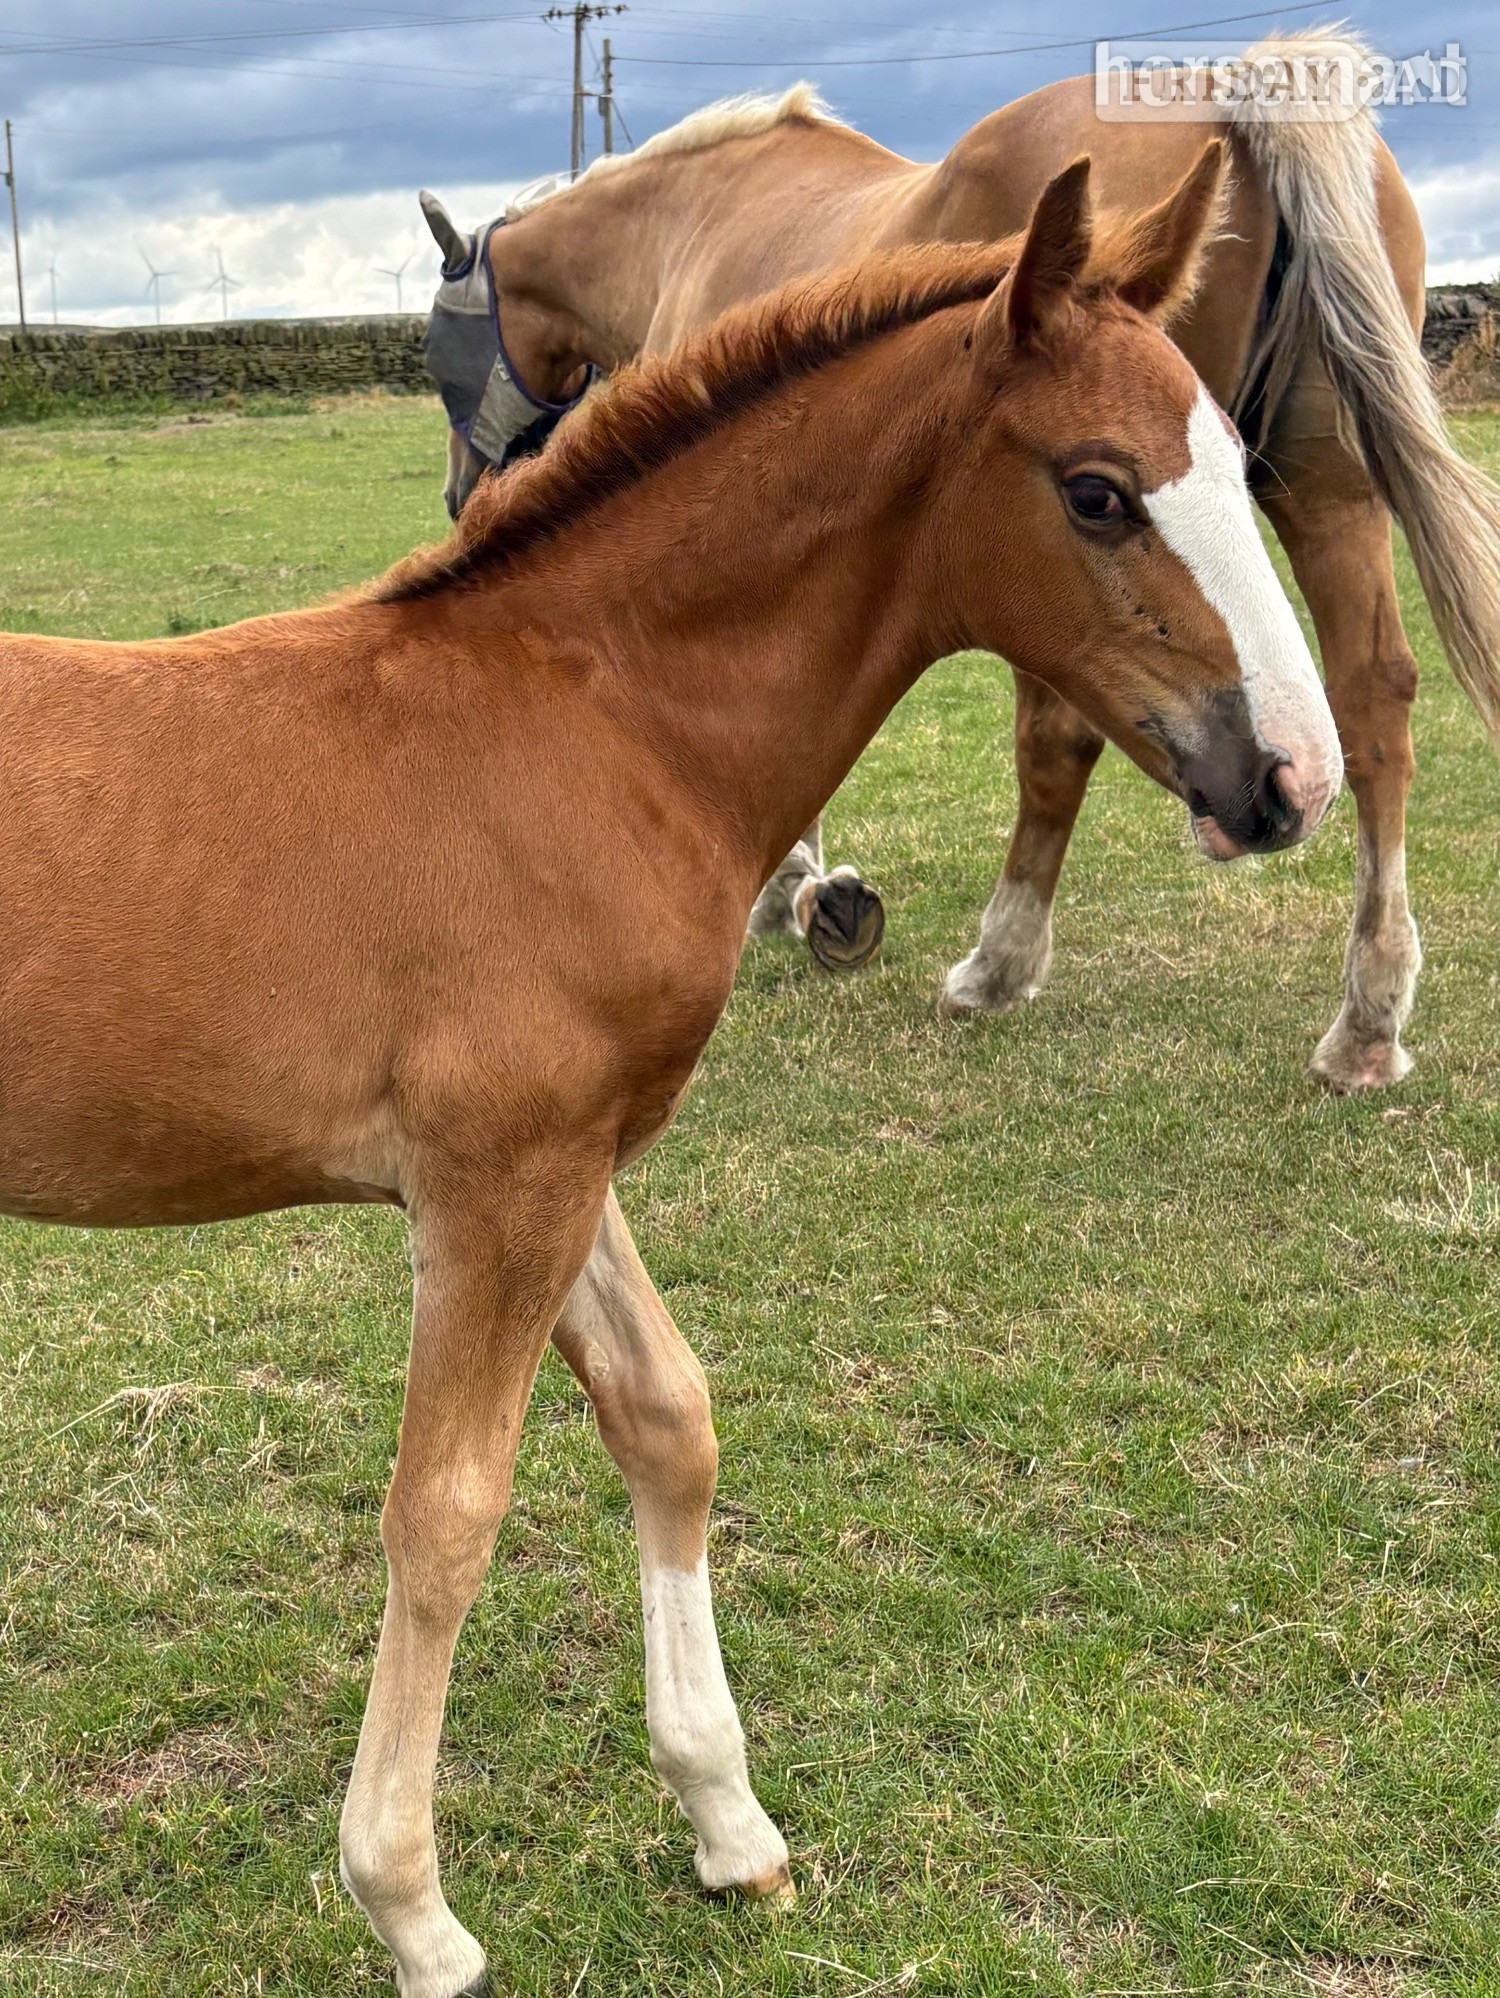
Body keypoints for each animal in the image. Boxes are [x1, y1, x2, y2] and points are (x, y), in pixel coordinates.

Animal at [2, 156, 1342, 1996]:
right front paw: (412, 1908)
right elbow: (447, 1510)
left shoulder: (564, 1164)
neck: (586, 727)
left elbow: (667, 1417)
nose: (1291, 780)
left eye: (1233, 460)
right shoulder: (497, 1186)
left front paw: (728, 1818)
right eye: (1097, 490)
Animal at [419, 34, 1500, 1092]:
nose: (462, 494)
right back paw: (1367, 1018)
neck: (686, 222)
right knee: (1373, 700)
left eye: (436, 354)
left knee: (1060, 740)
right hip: (1328, 495)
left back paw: (1001, 962)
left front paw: (802, 890)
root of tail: (1234, 89)